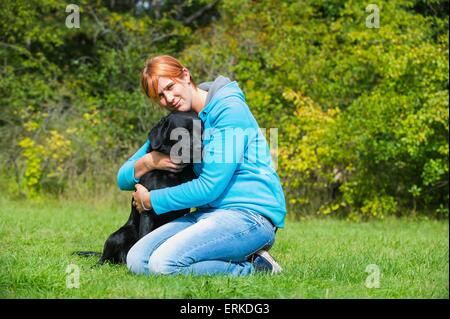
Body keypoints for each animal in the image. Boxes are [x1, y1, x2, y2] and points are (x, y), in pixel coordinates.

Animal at [74, 112, 201, 264]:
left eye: (202, 131)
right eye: (183, 133)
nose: (201, 148)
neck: (172, 174)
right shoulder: (146, 210)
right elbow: (144, 237)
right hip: (120, 235)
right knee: (103, 258)